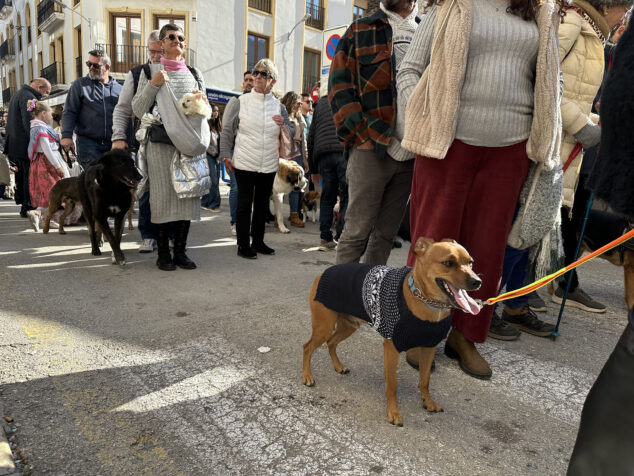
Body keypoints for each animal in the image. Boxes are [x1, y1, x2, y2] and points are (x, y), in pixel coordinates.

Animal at [302, 238, 478, 428]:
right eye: (448, 263)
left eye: (471, 262)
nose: (477, 281)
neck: (426, 301)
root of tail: (323, 273)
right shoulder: (391, 348)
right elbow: (392, 386)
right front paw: (393, 412)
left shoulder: (428, 347)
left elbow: (425, 380)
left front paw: (428, 401)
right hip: (324, 327)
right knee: (307, 347)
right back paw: (307, 376)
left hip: (348, 326)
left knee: (331, 342)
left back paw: (338, 366)